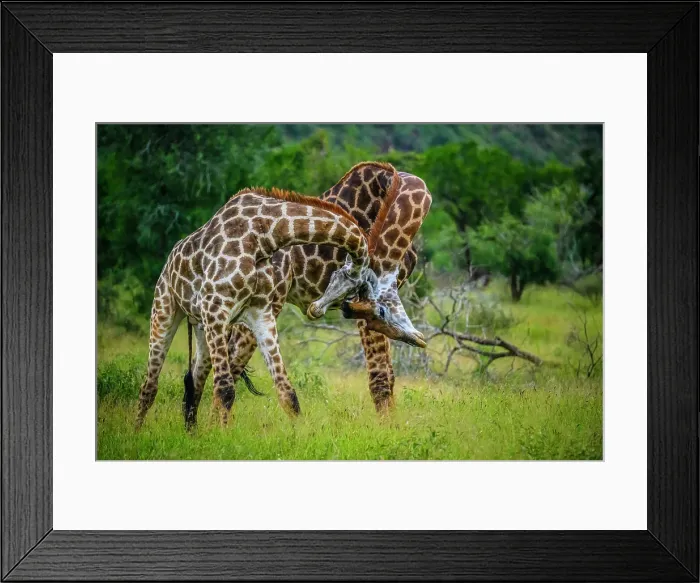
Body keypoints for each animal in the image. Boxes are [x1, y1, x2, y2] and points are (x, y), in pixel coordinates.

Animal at [135, 186, 408, 429]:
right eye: (356, 291)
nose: (315, 309)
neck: (264, 234)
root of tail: (168, 262)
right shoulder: (216, 306)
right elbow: (225, 388)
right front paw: (222, 437)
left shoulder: (260, 313)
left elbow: (287, 393)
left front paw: (303, 437)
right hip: (165, 309)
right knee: (150, 384)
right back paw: (136, 432)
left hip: (201, 326)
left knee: (194, 379)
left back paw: (191, 433)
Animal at [183, 162, 431, 427]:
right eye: (376, 312)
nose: (316, 308)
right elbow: (381, 376)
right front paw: (388, 428)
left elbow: (389, 374)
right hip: (263, 303)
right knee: (229, 363)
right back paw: (211, 427)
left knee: (206, 365)